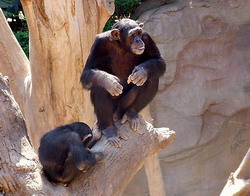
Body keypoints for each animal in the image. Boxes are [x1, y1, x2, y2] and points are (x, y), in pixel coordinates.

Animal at [80, 18, 166, 148]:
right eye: (132, 35)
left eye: (139, 33)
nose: (138, 40)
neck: (122, 45)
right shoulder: (99, 43)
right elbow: (87, 71)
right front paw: (109, 81)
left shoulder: (147, 37)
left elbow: (159, 60)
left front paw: (141, 72)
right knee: (99, 86)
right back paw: (108, 129)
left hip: (122, 107)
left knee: (152, 78)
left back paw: (131, 113)